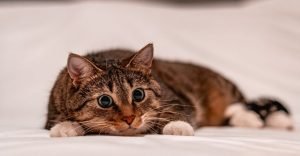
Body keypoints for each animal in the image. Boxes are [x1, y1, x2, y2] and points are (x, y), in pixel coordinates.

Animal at [45, 43, 292, 136]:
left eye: (138, 94)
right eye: (105, 101)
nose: (129, 118)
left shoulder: (175, 98)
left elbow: (175, 112)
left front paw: (177, 127)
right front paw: (66, 127)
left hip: (225, 91)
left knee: (247, 105)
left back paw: (267, 120)